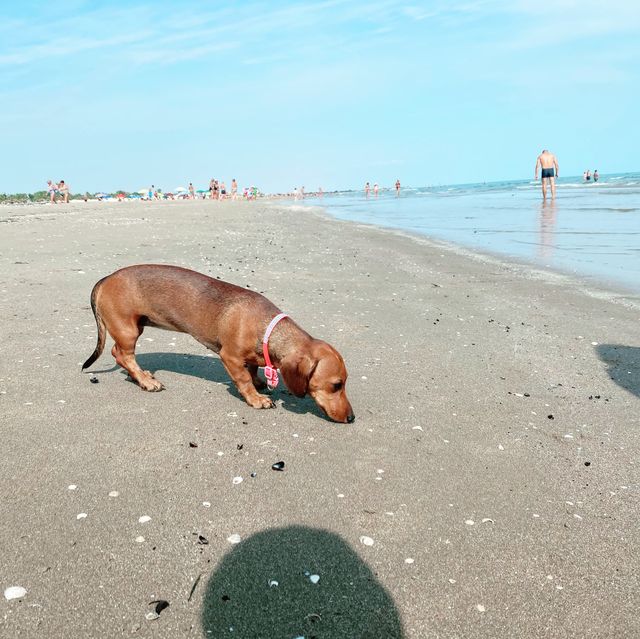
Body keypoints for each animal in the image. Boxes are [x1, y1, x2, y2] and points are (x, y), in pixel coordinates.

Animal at [81, 264, 356, 424]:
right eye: (336, 385)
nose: (352, 417)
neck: (267, 329)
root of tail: (105, 278)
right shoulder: (230, 357)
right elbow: (243, 379)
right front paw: (256, 398)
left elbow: (252, 370)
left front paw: (259, 382)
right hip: (127, 330)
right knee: (121, 354)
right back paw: (147, 381)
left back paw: (141, 375)